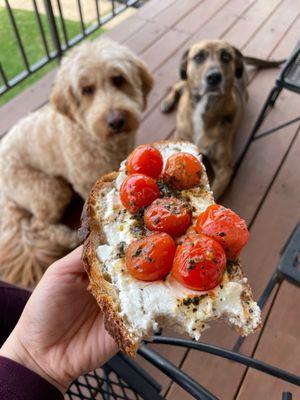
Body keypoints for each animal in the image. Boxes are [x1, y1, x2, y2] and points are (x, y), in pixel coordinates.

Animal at [0, 38, 154, 288]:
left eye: (118, 79)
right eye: (86, 90)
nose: (116, 121)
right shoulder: (84, 182)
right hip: (50, 189)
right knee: (39, 224)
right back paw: (68, 237)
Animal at [161, 39, 282, 198]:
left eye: (226, 56)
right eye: (199, 57)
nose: (214, 77)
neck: (204, 106)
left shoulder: (224, 170)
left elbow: (214, 194)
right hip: (184, 81)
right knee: (177, 85)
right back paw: (167, 102)